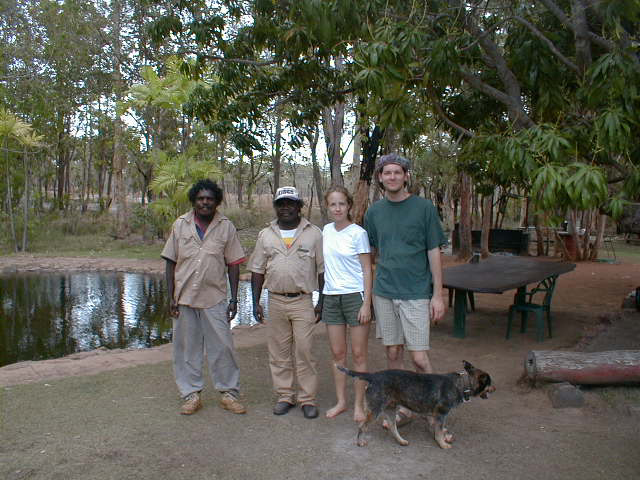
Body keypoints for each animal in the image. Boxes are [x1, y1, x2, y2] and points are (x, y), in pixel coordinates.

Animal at [338, 362, 498, 448]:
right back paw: (360, 442)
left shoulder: (435, 416)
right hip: (375, 411)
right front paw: (442, 444)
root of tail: (372, 376)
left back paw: (401, 441)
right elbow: (439, 432)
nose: (495, 389)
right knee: (362, 426)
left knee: (393, 428)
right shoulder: (441, 415)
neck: (462, 384)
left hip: (390, 410)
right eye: (489, 382)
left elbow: (436, 429)